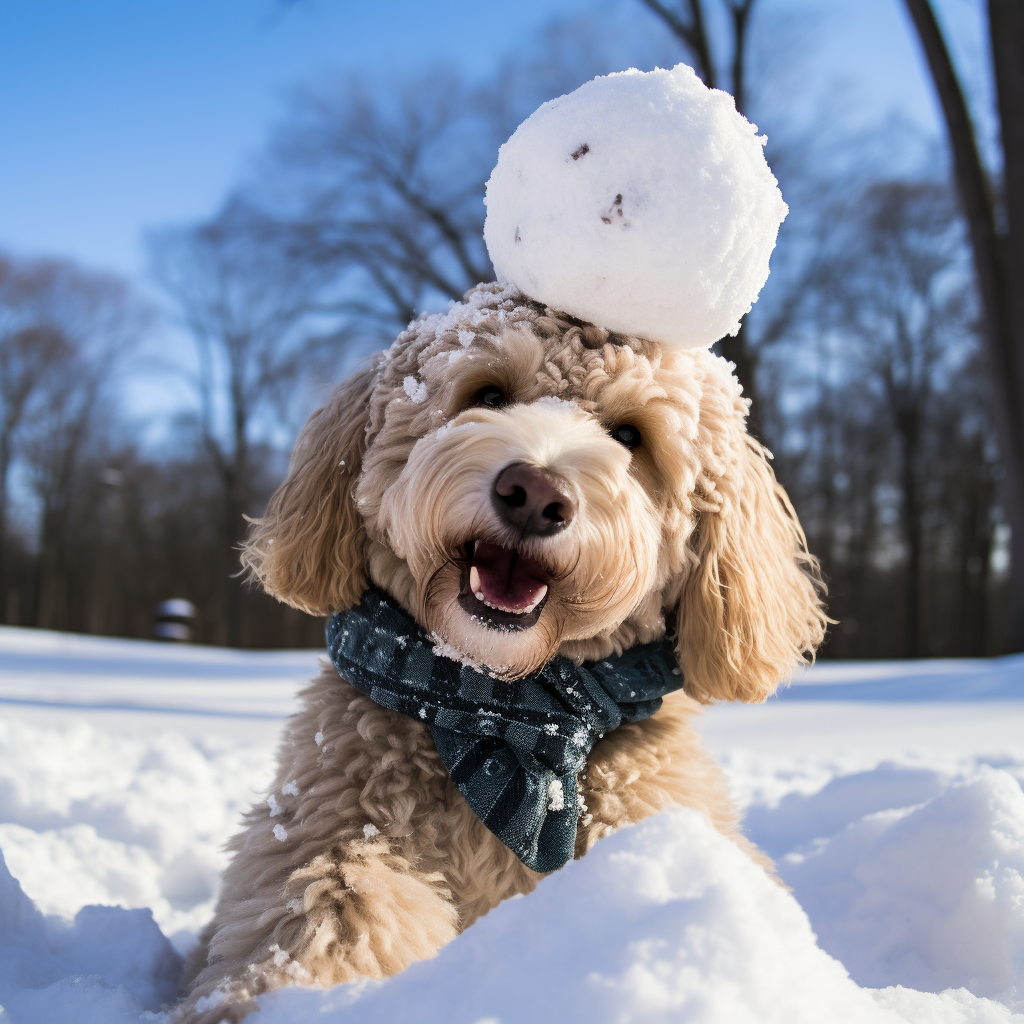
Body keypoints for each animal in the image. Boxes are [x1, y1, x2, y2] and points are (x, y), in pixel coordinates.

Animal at [176, 282, 827, 1024]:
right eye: (487, 393)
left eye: (630, 436)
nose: (536, 494)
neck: (510, 715)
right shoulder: (332, 828)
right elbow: (329, 908)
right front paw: (292, 997)